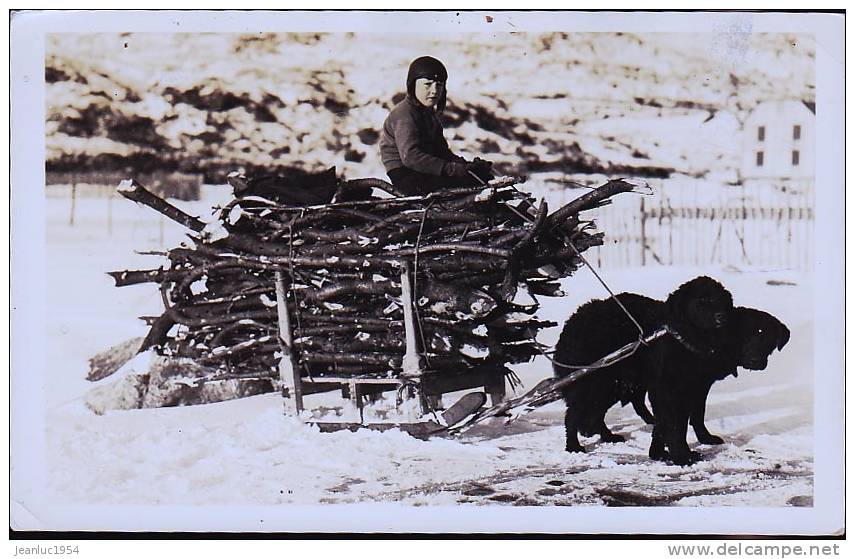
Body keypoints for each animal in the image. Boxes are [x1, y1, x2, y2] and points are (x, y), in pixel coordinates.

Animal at [556, 274, 736, 464]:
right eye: (702, 301)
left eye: (721, 300)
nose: (722, 316)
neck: (681, 336)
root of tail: (571, 324)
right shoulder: (667, 391)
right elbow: (674, 425)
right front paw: (682, 456)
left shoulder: (698, 386)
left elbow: (696, 416)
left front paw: (703, 439)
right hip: (594, 385)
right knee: (572, 415)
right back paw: (573, 446)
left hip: (612, 386)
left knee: (596, 415)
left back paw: (608, 437)